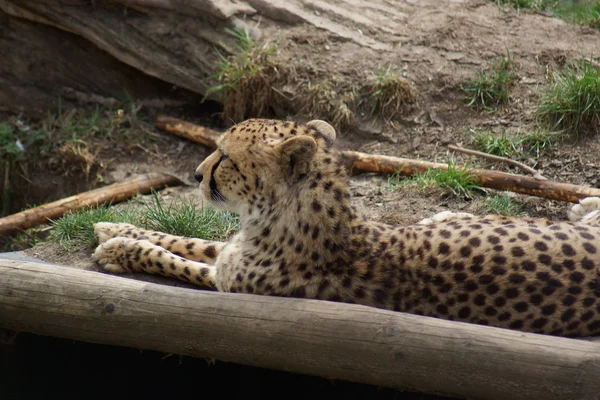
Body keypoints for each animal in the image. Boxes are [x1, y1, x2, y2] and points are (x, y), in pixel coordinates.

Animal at [91, 118, 600, 338]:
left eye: (227, 158)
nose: (196, 174)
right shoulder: (231, 250)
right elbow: (190, 240)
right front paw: (117, 225)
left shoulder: (228, 282)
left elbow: (179, 257)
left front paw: (119, 248)